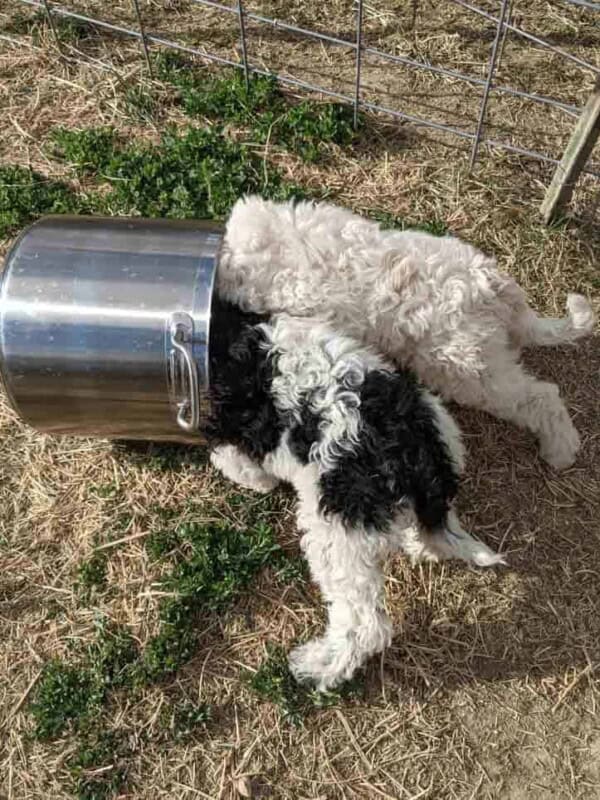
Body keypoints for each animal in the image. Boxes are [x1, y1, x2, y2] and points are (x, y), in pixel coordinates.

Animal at [206, 304, 502, 692]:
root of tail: (420, 446)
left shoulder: (229, 423)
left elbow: (231, 458)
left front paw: (258, 481)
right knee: (433, 527)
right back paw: (418, 543)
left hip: (338, 530)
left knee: (365, 626)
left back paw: (319, 666)